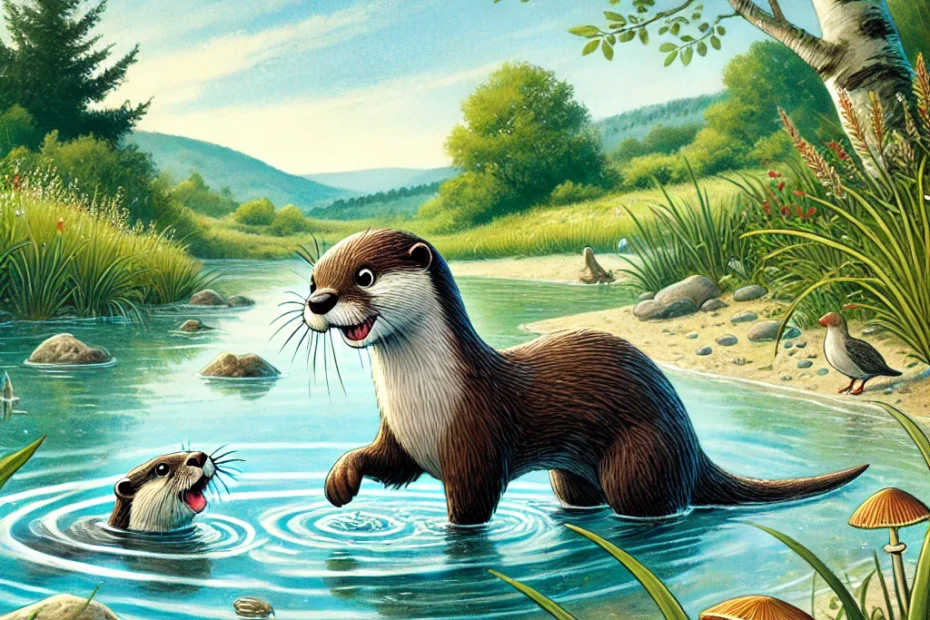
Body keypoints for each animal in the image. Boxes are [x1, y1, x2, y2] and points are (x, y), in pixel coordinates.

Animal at [302, 229, 868, 525]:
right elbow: (385, 461)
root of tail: (691, 443)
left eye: (364, 276)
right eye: (313, 278)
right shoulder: (402, 437)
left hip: (639, 458)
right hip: (572, 474)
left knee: (659, 503)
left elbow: (470, 509)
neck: (424, 400)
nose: (318, 302)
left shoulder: (476, 443)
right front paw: (340, 480)